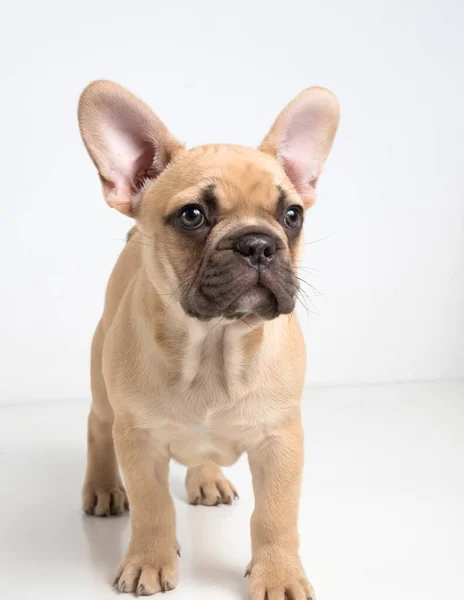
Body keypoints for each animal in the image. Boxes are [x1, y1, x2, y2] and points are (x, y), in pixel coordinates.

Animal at [77, 81, 338, 600]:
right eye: (192, 216)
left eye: (292, 215)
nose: (259, 243)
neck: (214, 347)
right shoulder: (137, 440)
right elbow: (153, 507)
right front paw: (148, 560)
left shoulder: (281, 443)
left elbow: (274, 516)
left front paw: (278, 574)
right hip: (103, 387)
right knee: (98, 426)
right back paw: (102, 489)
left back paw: (207, 478)